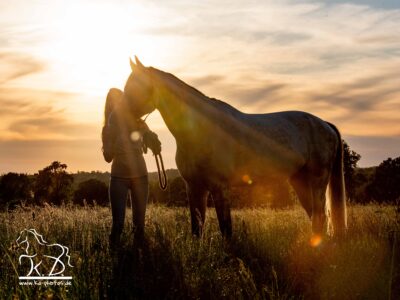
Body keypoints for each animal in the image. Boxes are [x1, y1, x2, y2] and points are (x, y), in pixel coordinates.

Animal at [122, 57, 346, 241]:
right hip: (299, 181)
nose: (122, 115)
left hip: (317, 181)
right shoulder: (194, 187)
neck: (201, 129)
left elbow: (226, 229)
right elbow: (197, 228)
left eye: (135, 86)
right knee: (316, 218)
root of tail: (325, 124)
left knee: (320, 217)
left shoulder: (219, 187)